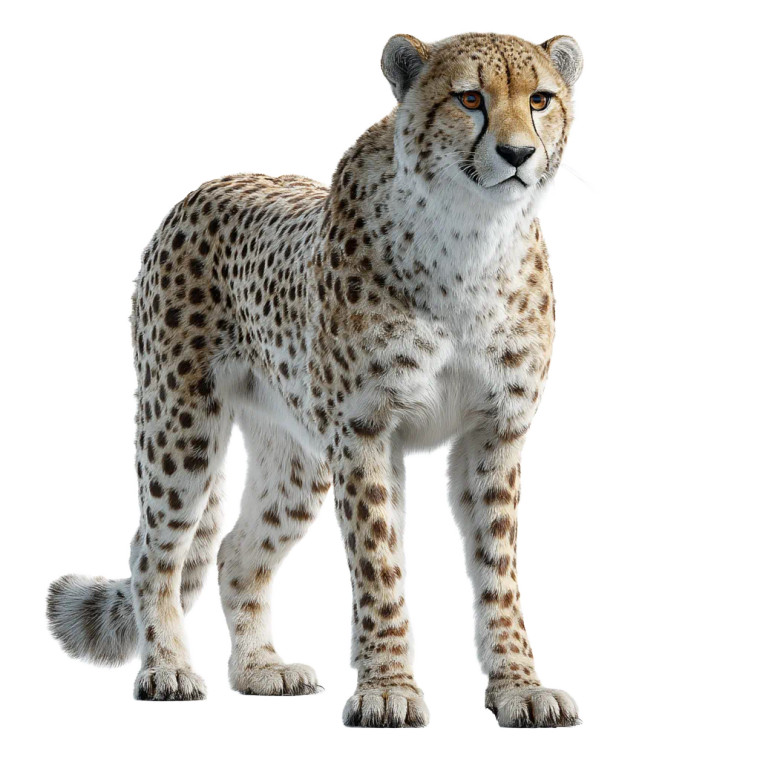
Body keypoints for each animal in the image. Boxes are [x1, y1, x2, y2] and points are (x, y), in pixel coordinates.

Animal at [47, 31, 583, 728]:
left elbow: (498, 571)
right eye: (470, 98)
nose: (517, 153)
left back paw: (259, 668)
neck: (471, 240)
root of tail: (208, 185)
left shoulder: (495, 430)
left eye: (541, 99)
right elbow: (379, 565)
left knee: (235, 553)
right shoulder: (366, 431)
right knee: (152, 551)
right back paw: (166, 668)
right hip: (180, 427)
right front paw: (389, 687)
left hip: (298, 458)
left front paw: (519, 685)